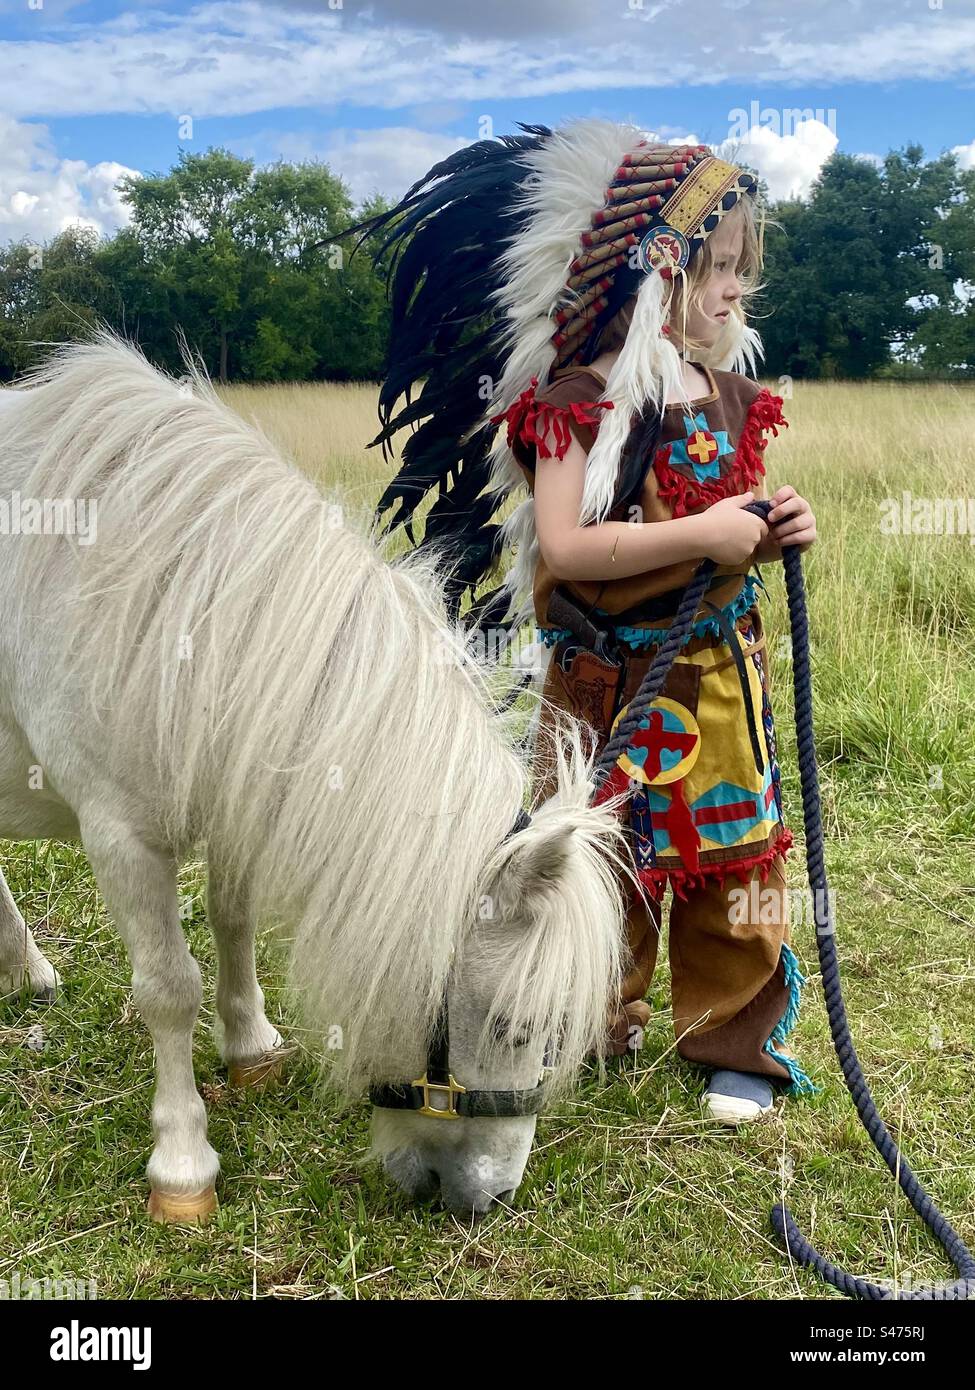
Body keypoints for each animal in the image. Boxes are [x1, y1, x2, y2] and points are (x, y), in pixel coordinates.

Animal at [0, 341, 628, 1223]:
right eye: (511, 1026)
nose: (491, 1197)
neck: (178, 602)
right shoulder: (120, 836)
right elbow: (168, 989)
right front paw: (183, 1165)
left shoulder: (237, 787)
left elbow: (232, 920)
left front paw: (250, 1047)